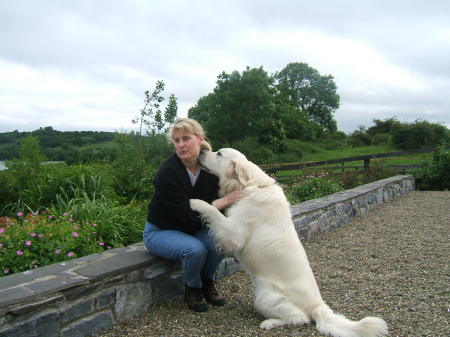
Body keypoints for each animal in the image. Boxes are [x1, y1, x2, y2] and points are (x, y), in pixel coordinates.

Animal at [189, 148, 386, 336]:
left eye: (219, 153)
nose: (201, 151)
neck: (251, 186)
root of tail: (318, 306)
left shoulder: (234, 235)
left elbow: (211, 209)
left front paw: (194, 202)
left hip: (263, 296)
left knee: (300, 318)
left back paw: (268, 323)